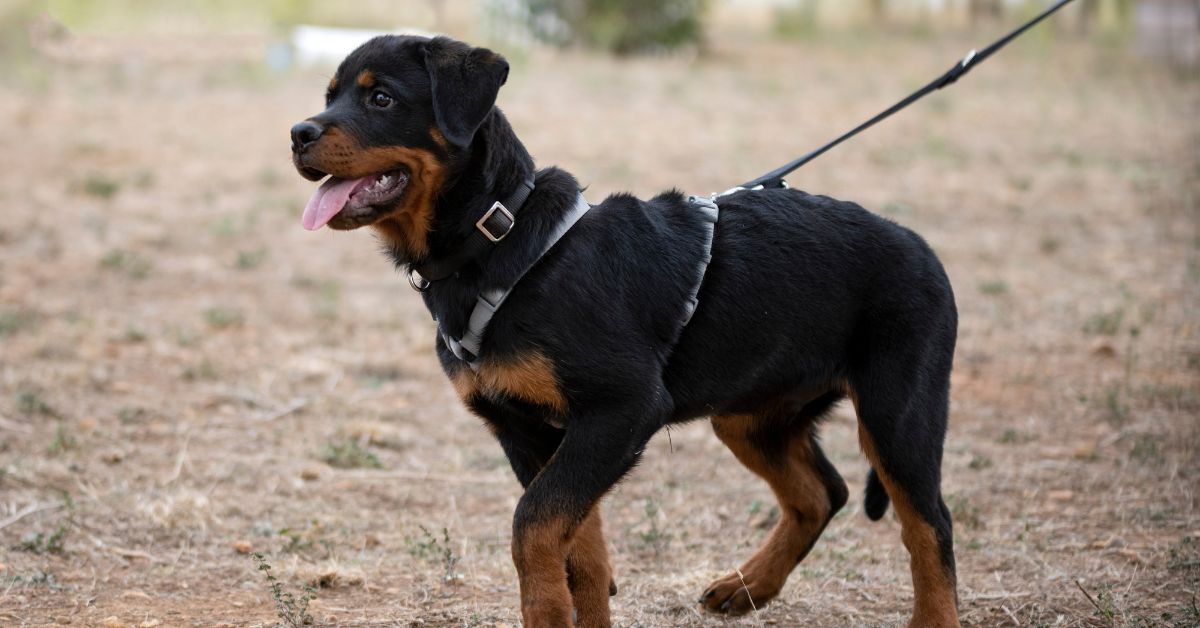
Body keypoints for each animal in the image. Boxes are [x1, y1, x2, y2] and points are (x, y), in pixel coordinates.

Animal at [285, 34, 960, 628]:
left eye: (381, 98)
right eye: (329, 95)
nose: (298, 134)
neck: (501, 241)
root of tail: (921, 245)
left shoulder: (622, 410)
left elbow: (533, 526)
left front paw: (543, 613)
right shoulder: (529, 432)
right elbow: (580, 552)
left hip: (897, 412)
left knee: (930, 525)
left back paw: (929, 615)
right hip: (751, 416)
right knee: (823, 492)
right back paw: (748, 587)